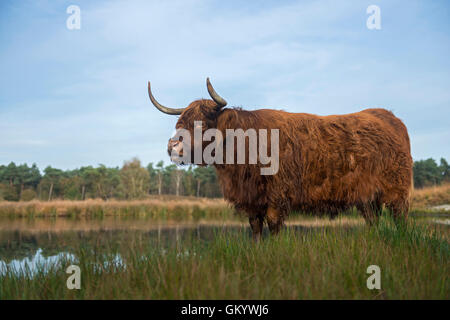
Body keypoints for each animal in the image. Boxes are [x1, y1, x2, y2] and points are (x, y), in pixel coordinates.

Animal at [148, 79, 412, 240]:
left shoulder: (277, 195)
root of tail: (389, 116)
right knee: (373, 220)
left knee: (400, 218)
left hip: (396, 190)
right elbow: (255, 228)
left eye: (202, 124)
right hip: (367, 197)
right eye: (179, 123)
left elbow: (274, 226)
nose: (172, 146)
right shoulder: (251, 199)